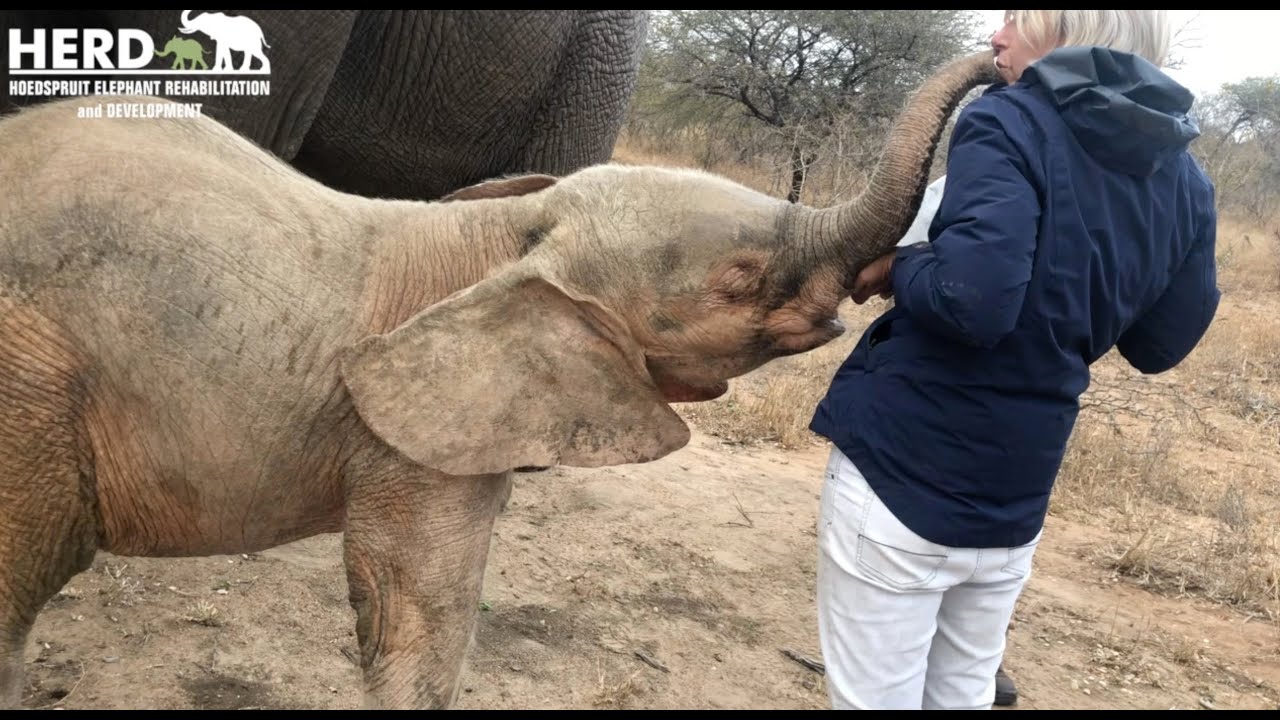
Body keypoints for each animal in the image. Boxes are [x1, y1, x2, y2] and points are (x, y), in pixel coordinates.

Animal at [0, 50, 999, 709]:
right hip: (29, 385)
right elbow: (416, 613)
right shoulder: (408, 438)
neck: (506, 237)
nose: (998, 57)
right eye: (739, 281)